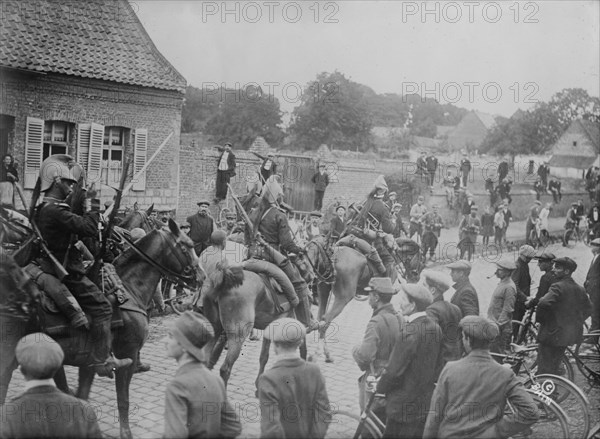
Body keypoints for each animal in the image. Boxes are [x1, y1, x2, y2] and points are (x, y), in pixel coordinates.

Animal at [0, 220, 204, 439]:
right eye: (186, 246)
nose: (201, 276)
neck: (129, 288)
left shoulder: (90, 362)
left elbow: (83, 397)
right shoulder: (127, 354)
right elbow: (123, 398)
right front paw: (126, 432)